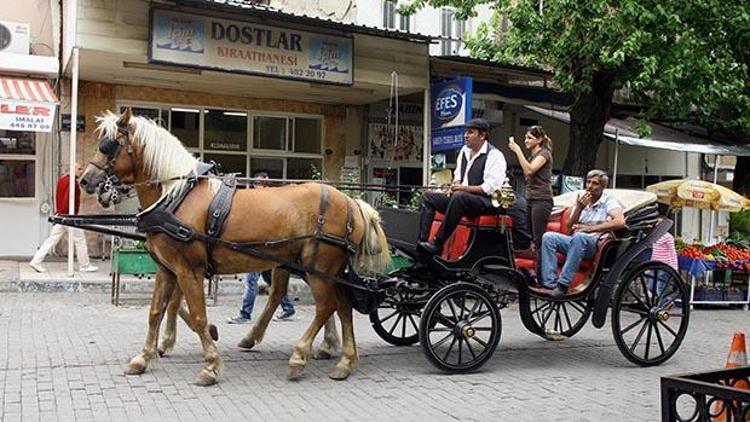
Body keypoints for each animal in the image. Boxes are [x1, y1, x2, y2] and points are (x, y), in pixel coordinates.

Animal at [80, 109, 390, 386]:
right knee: (342, 305)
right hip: (322, 269)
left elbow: (197, 315)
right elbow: (156, 312)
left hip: (318, 268)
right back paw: (344, 361)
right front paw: (143, 357)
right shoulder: (167, 270)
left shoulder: (188, 271)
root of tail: (349, 201)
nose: (85, 180)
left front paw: (210, 366)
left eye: (108, 145)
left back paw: (299, 357)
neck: (176, 196)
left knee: (326, 306)